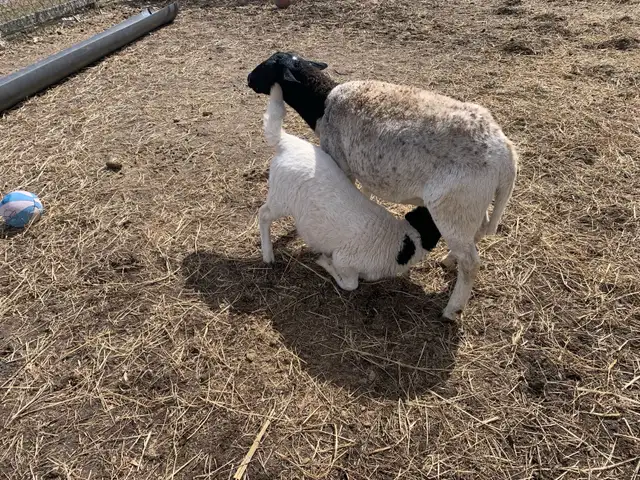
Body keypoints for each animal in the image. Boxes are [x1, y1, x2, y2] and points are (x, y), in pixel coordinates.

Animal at [258, 83, 442, 291]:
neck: (402, 242)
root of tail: (286, 142)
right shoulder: (344, 260)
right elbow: (350, 284)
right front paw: (324, 263)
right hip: (281, 199)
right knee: (263, 214)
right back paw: (268, 254)